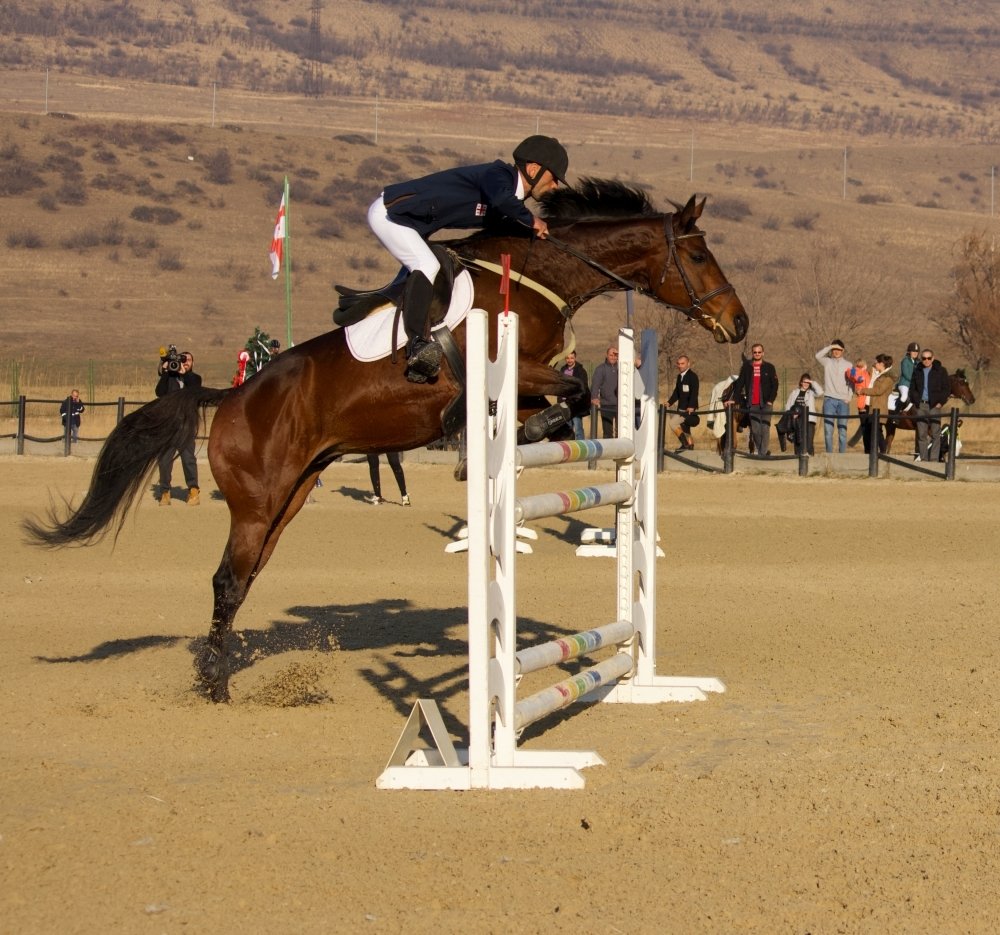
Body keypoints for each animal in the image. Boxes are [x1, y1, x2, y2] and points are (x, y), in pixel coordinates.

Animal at [24, 179, 748, 703]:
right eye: (699, 254)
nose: (739, 324)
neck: (541, 272)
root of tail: (227, 397)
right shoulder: (502, 364)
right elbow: (566, 392)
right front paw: (518, 431)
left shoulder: (521, 381)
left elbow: (561, 403)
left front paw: (530, 431)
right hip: (258, 501)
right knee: (227, 581)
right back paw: (216, 686)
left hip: (290, 496)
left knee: (241, 580)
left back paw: (218, 670)